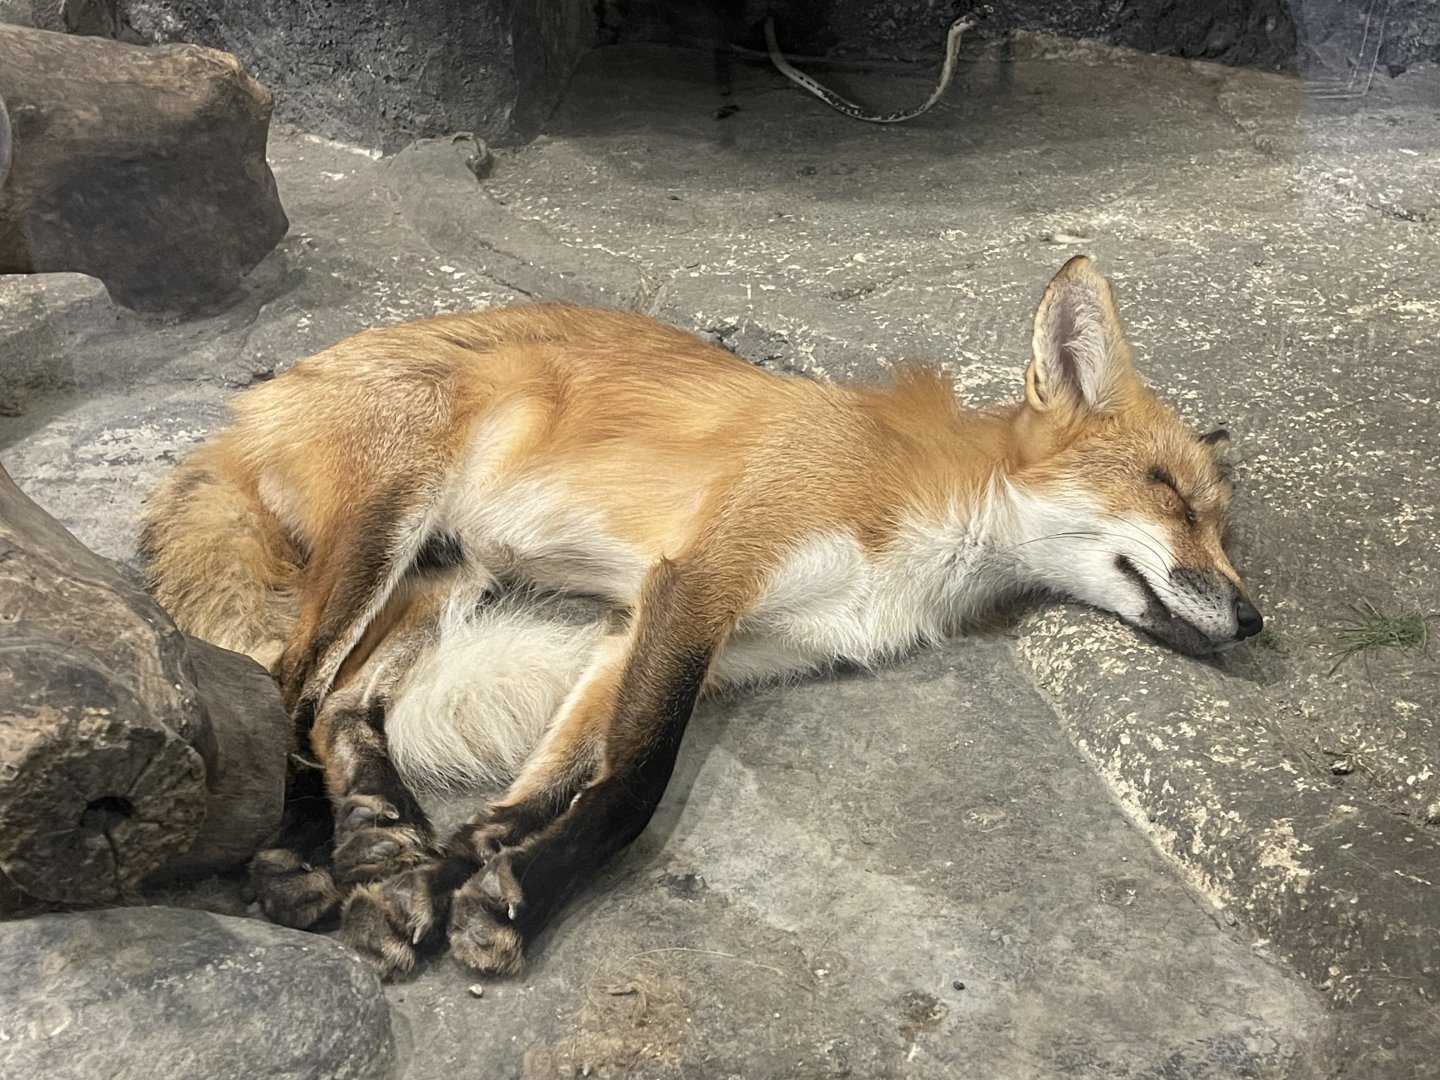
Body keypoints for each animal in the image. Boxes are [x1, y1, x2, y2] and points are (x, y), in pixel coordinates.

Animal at [141, 255, 1261, 980]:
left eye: (1221, 524)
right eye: (1170, 494)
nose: (1252, 616)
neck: (925, 522)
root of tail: (255, 401)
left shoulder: (670, 634)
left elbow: (538, 794)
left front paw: (444, 879)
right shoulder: (702, 582)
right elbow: (633, 786)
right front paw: (507, 908)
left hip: (446, 574)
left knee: (340, 705)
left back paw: (376, 836)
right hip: (386, 532)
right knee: (286, 687)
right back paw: (288, 861)